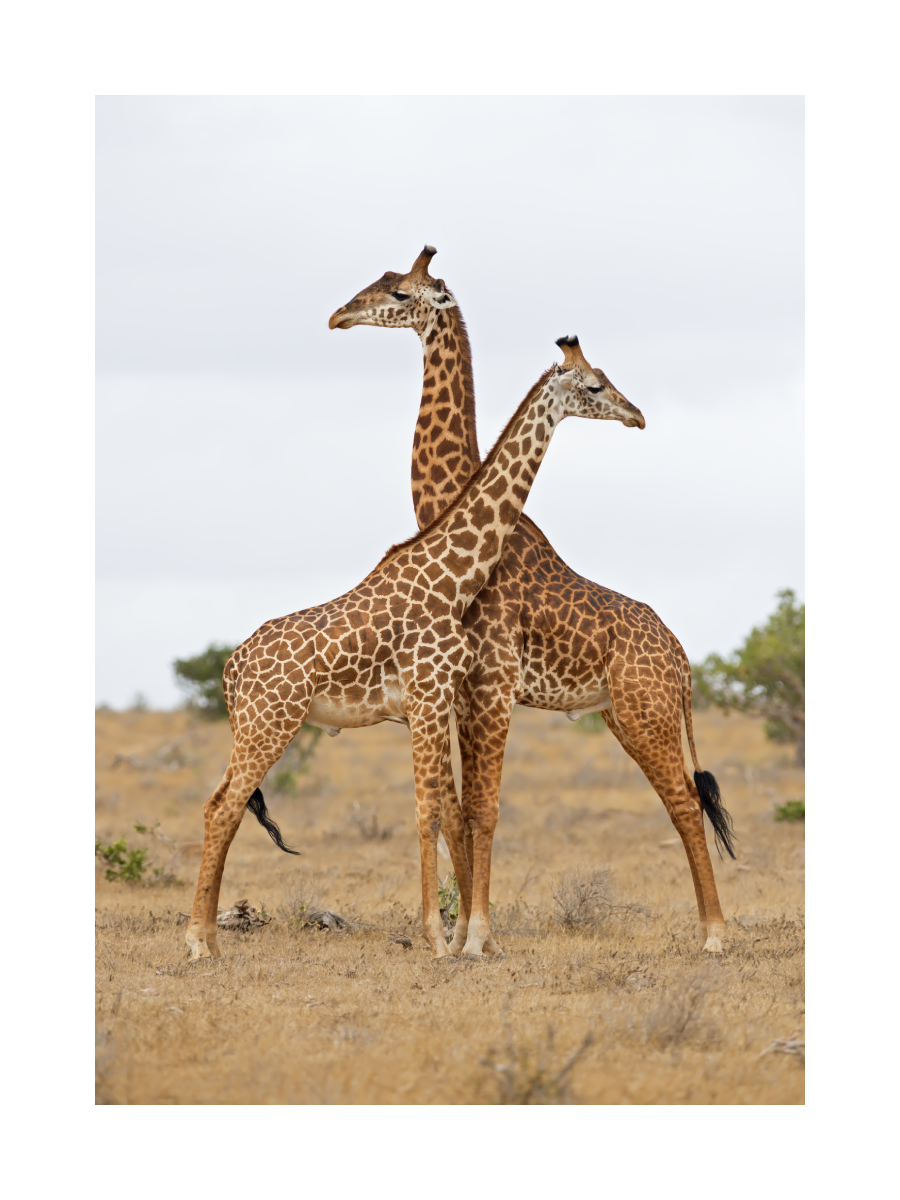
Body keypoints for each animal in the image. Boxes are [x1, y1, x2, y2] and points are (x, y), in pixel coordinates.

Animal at [185, 335, 645, 962]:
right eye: (595, 385)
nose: (637, 415)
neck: (453, 579)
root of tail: (231, 669)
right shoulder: (427, 698)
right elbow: (429, 813)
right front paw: (437, 939)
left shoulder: (427, 705)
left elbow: (440, 810)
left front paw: (449, 937)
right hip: (269, 722)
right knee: (223, 807)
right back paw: (199, 942)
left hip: (256, 725)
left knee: (221, 806)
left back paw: (207, 938)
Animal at [329, 247, 736, 957]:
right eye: (381, 283)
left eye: (401, 293)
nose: (339, 315)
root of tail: (683, 661)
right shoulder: (458, 691)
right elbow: (458, 809)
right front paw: (464, 931)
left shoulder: (489, 683)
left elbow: (481, 808)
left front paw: (474, 938)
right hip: (621, 716)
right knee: (682, 802)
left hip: (646, 713)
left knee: (686, 804)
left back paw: (714, 937)